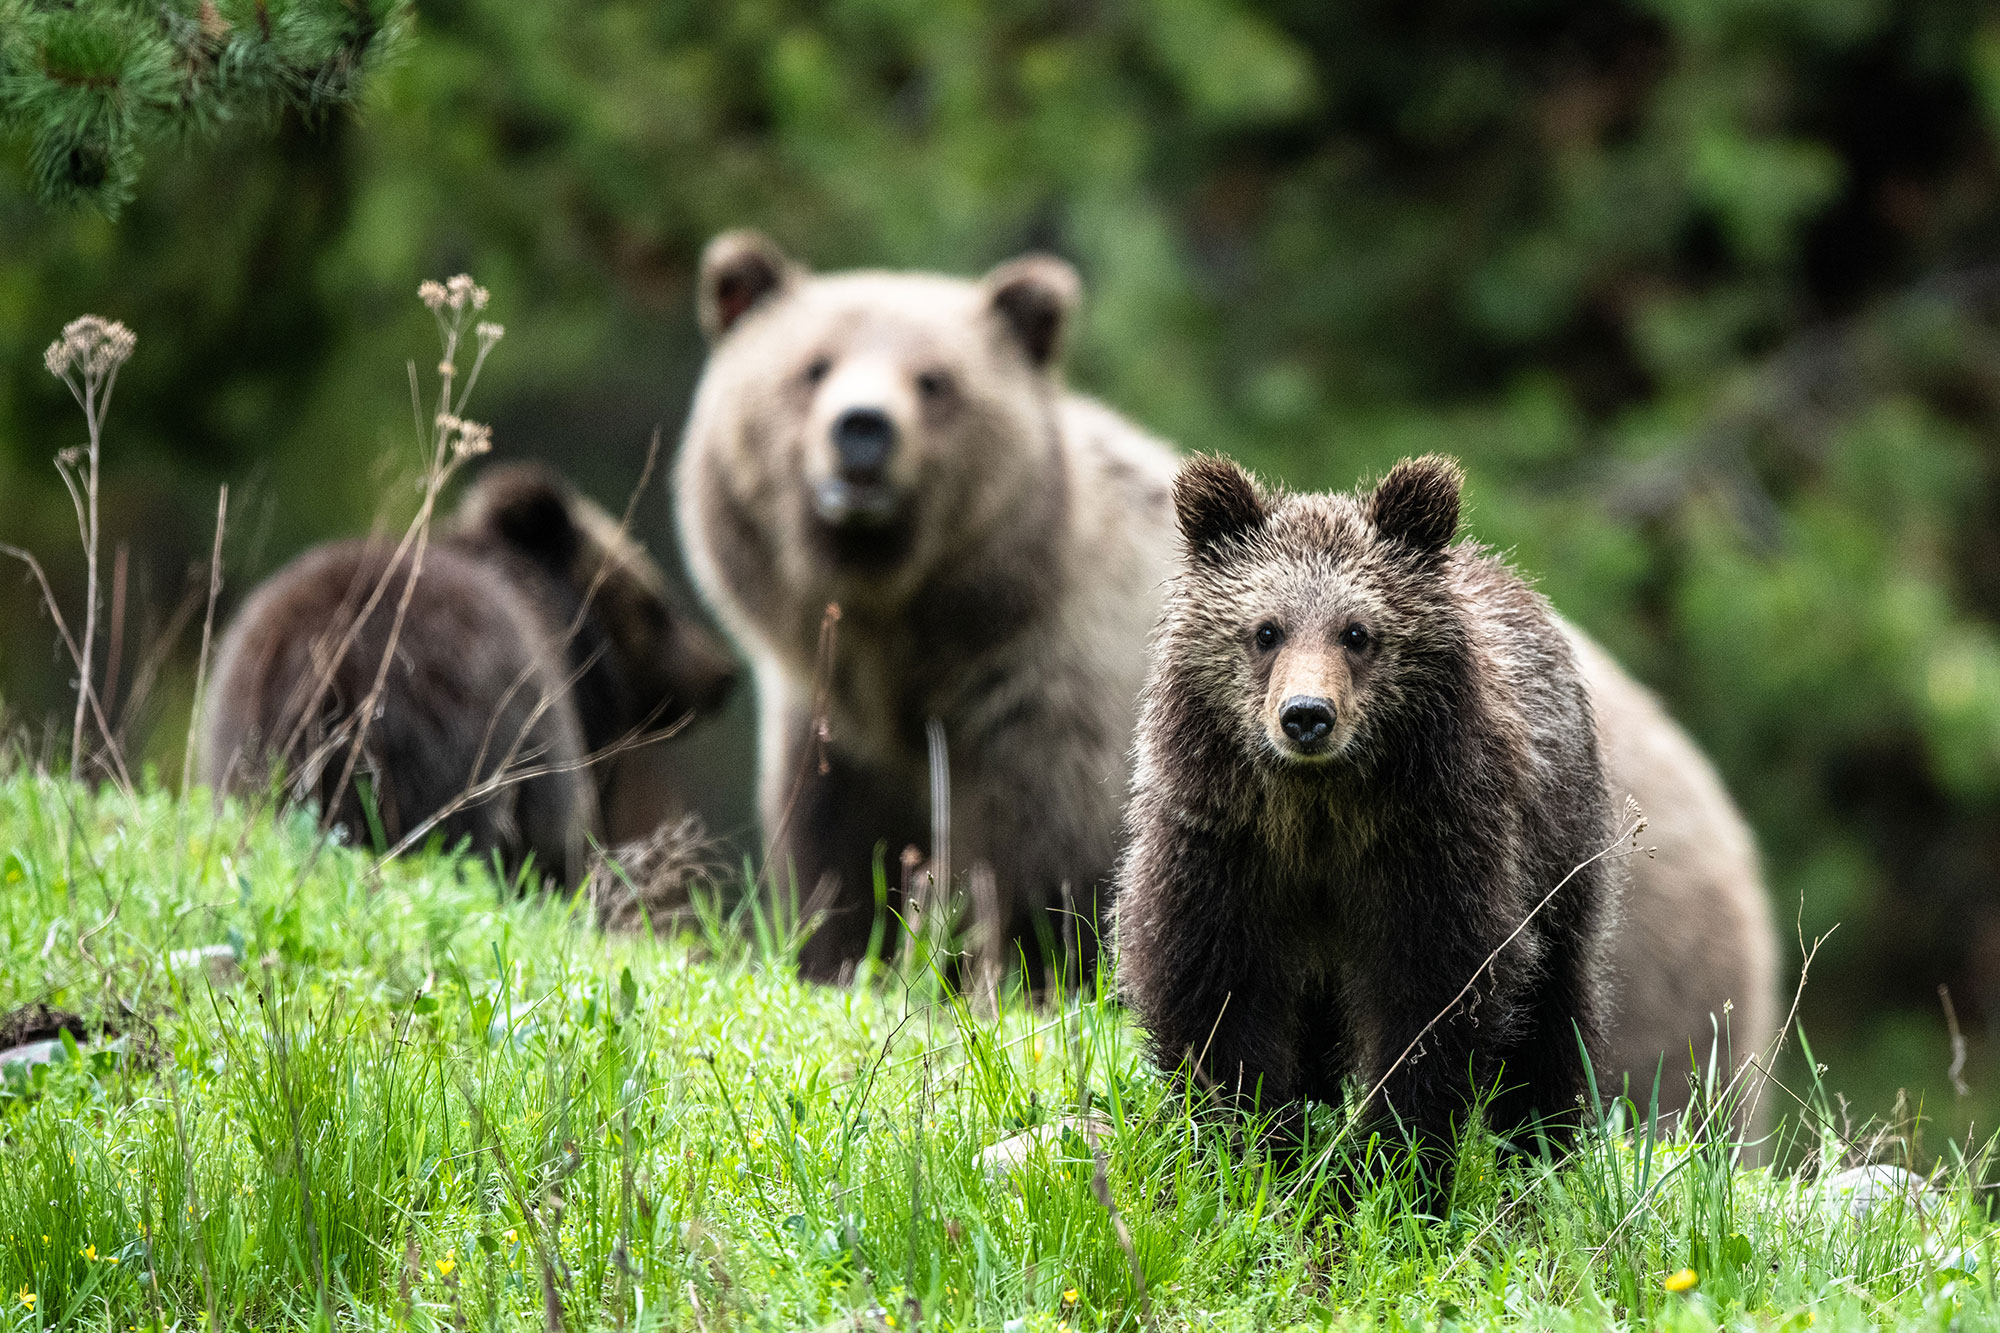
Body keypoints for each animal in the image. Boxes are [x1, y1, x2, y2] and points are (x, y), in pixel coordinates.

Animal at [675, 230, 1180, 981]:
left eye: (935, 379)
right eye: (813, 367)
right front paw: (842, 955)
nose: (862, 428)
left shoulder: (1048, 705)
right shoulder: (836, 734)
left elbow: (1039, 868)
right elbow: (835, 862)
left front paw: (1015, 967)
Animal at [1112, 454, 1620, 1191]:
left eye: (1357, 632)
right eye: (1266, 630)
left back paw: (1541, 1148)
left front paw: (1389, 1163)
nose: (1306, 716)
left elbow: (1434, 996)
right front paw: (1251, 1146)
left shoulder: (1432, 845)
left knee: (1555, 1007)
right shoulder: (1221, 844)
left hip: (1559, 852)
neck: (1319, 808)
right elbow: (1214, 990)